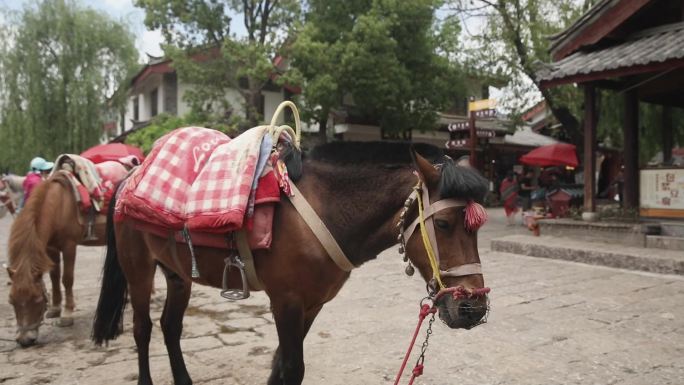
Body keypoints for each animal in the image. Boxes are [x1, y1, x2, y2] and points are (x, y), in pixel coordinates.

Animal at [5, 171, 107, 344]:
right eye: (12, 301)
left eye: (37, 299)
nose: (24, 340)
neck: (59, 205)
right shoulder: (51, 248)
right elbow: (54, 277)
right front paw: (55, 308)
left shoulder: (69, 246)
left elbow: (67, 279)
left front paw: (67, 314)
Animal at [92, 142, 492, 384]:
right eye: (444, 224)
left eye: (477, 227)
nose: (472, 307)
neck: (324, 211)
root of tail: (128, 177)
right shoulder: (285, 301)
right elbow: (292, 367)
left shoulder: (311, 305)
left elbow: (282, 367)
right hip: (138, 270)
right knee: (142, 329)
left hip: (177, 274)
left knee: (170, 327)